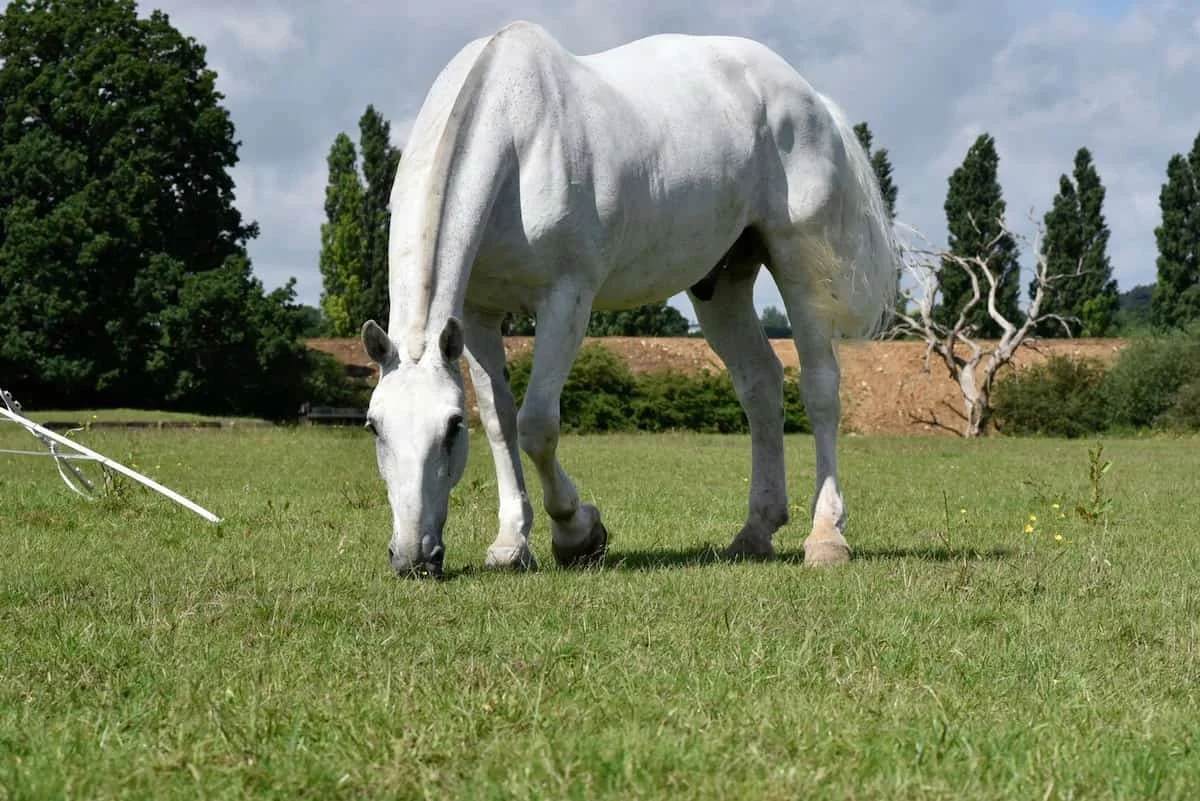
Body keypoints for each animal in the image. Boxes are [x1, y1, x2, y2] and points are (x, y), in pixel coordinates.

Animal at [360, 21, 899, 577]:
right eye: (374, 427)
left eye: (450, 429)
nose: (412, 557)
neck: (516, 137)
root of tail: (810, 98)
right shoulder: (478, 316)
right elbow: (499, 422)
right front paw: (510, 543)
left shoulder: (566, 301)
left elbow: (536, 426)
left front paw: (579, 534)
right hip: (721, 284)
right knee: (760, 385)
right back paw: (755, 532)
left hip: (798, 263)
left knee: (820, 389)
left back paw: (826, 536)